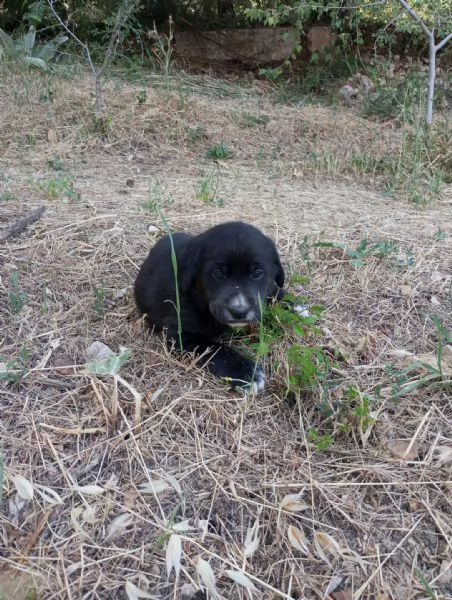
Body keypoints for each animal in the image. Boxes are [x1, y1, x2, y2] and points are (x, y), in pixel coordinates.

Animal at [132, 223, 284, 392]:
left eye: (257, 273)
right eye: (218, 273)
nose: (239, 311)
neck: (198, 298)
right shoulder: (181, 335)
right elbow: (217, 350)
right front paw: (247, 373)